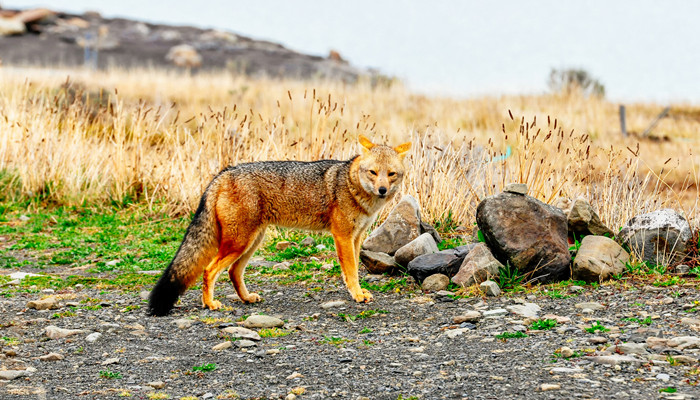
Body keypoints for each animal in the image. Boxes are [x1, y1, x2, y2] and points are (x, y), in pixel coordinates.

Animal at [146, 134, 410, 316]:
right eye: (373, 172)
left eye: (391, 174)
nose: (382, 190)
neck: (351, 185)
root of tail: (223, 173)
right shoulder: (342, 236)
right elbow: (352, 271)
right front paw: (357, 295)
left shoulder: (356, 237)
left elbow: (353, 268)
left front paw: (359, 292)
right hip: (239, 243)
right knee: (209, 270)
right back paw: (210, 303)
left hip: (251, 242)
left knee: (233, 272)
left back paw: (246, 299)